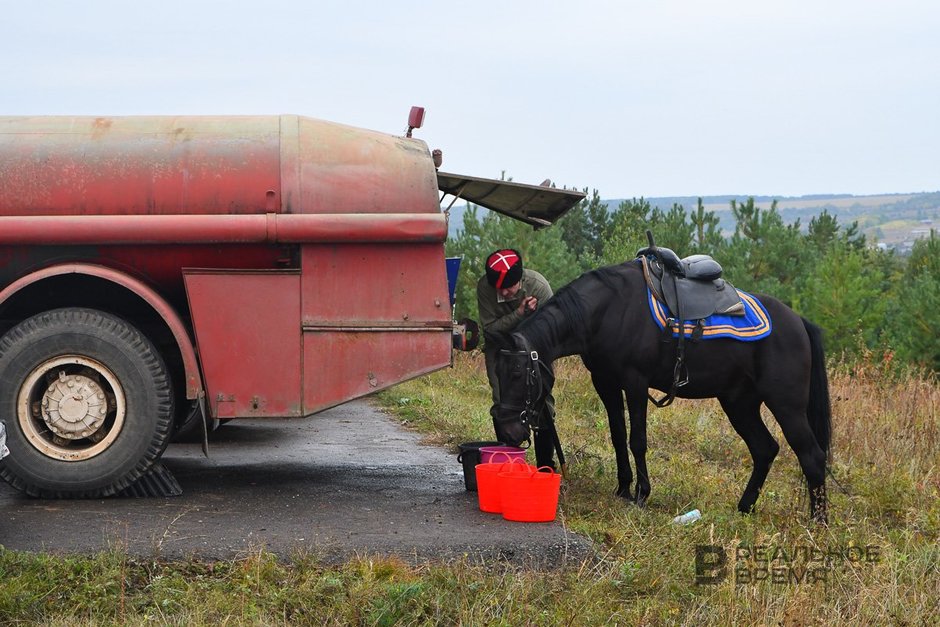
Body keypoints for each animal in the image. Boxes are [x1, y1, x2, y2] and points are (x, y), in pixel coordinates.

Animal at [492, 258, 828, 524]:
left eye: (519, 373)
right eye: (497, 372)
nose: (507, 431)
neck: (607, 310)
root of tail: (798, 321)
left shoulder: (636, 383)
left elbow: (637, 440)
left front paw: (642, 494)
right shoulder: (606, 382)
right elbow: (617, 437)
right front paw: (623, 489)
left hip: (786, 405)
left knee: (812, 456)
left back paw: (818, 523)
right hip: (739, 404)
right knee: (765, 449)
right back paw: (744, 508)